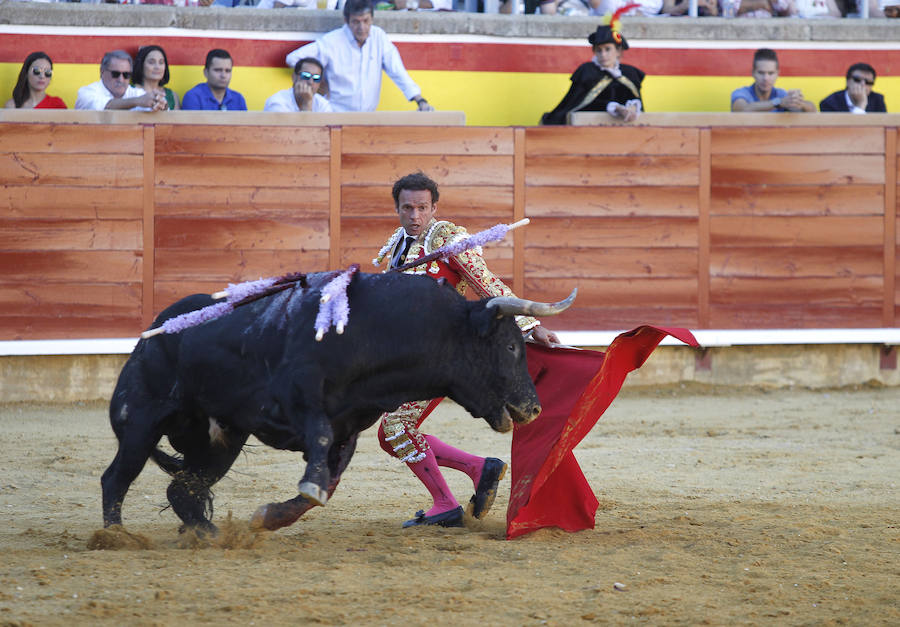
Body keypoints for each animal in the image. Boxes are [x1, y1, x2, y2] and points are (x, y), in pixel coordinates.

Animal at [102, 272, 572, 532]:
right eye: (510, 347)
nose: (534, 409)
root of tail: (153, 330)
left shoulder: (351, 425)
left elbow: (327, 483)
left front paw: (270, 517)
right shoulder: (298, 405)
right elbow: (319, 454)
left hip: (220, 441)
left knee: (183, 489)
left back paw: (210, 534)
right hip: (141, 421)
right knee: (117, 478)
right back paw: (116, 537)